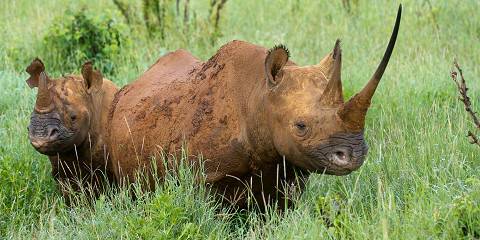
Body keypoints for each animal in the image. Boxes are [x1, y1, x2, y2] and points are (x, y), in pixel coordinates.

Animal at [108, 4, 402, 207]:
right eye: (301, 126)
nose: (354, 155)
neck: (259, 96)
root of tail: (136, 81)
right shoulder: (206, 175)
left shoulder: (288, 168)